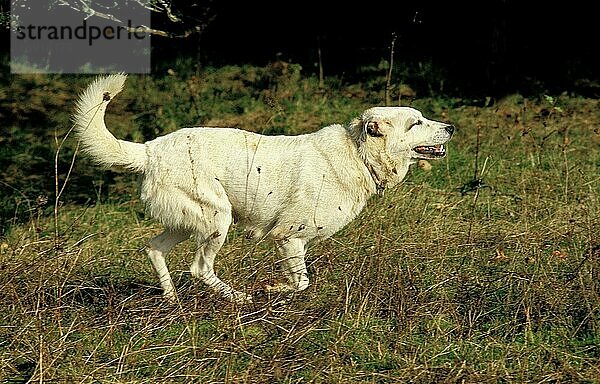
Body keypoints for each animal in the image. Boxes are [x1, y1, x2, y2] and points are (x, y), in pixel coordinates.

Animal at [71, 74, 454, 304]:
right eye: (416, 123)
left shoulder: (294, 243)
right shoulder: (289, 237)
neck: (357, 153)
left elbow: (301, 279)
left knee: (154, 249)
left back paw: (172, 301)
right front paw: (272, 289)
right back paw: (239, 298)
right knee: (199, 268)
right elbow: (301, 282)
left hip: (188, 222)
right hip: (217, 221)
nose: (450, 127)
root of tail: (151, 149)